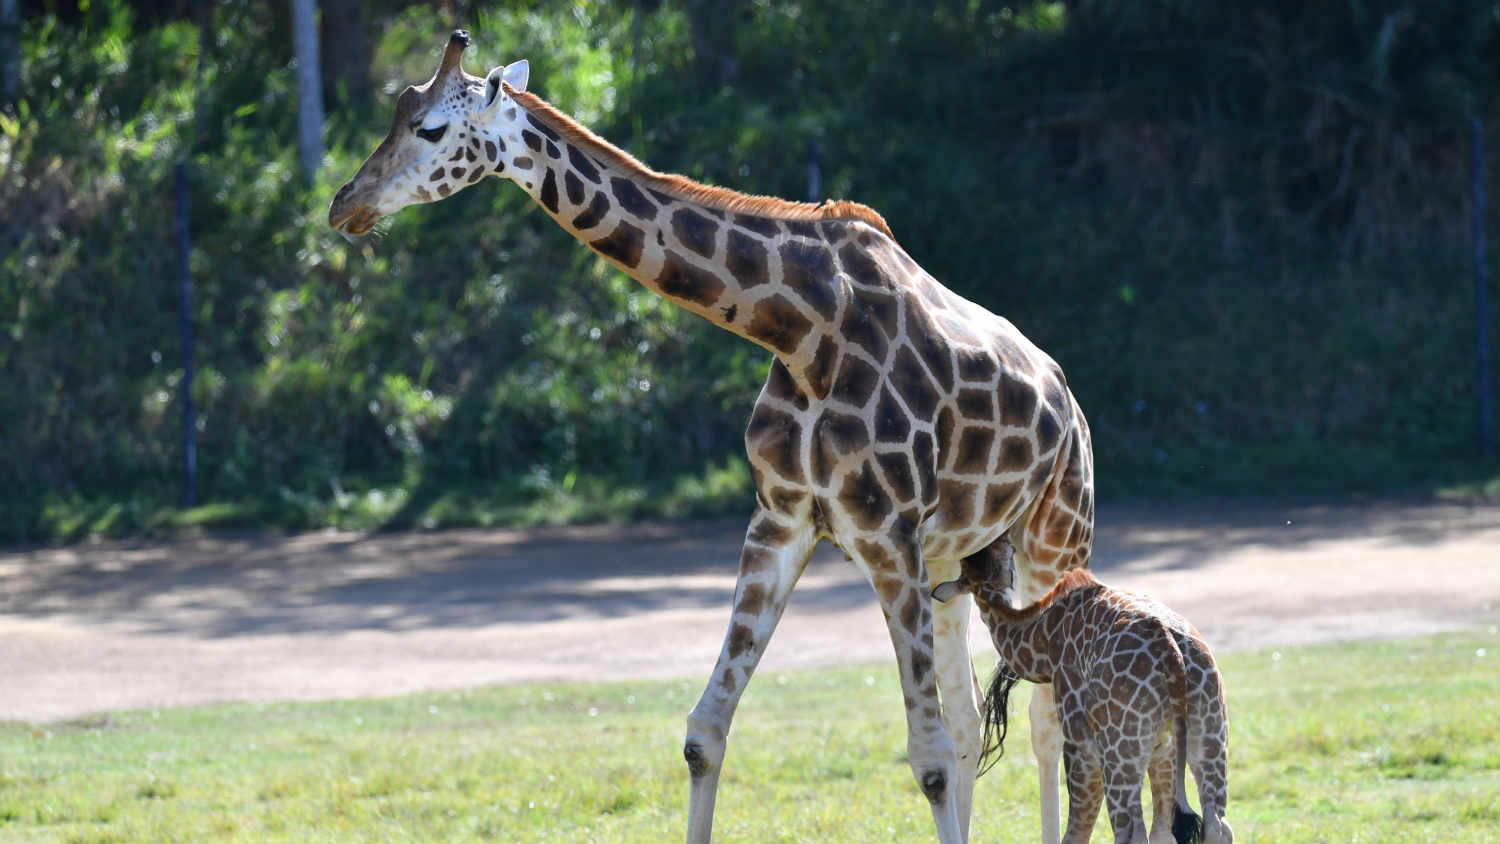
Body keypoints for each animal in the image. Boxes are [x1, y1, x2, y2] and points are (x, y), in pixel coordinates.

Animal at [334, 32, 1098, 844]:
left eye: (431, 130)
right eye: (396, 115)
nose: (344, 203)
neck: (800, 330)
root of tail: (1069, 400)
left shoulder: (886, 533)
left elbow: (926, 758)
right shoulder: (782, 521)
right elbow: (707, 732)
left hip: (1055, 538)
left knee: (1045, 720)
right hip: (957, 557)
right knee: (970, 721)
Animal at [930, 542, 1236, 844]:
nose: (1000, 541)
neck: (1043, 639)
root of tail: (1173, 655)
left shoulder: (1079, 738)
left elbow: (1077, 829)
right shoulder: (1163, 750)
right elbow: (1162, 831)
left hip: (1120, 750)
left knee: (1129, 831)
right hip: (1209, 733)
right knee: (1217, 824)